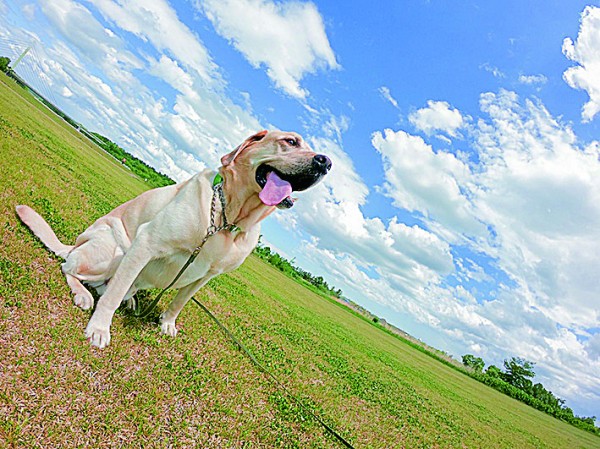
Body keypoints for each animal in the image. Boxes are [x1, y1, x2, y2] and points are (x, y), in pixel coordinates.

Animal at [16, 130, 330, 346]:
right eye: (290, 141)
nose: (326, 162)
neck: (228, 219)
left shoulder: (207, 275)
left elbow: (180, 301)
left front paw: (166, 323)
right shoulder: (147, 242)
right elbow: (112, 296)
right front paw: (99, 329)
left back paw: (130, 300)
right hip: (115, 250)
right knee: (71, 267)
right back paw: (83, 293)